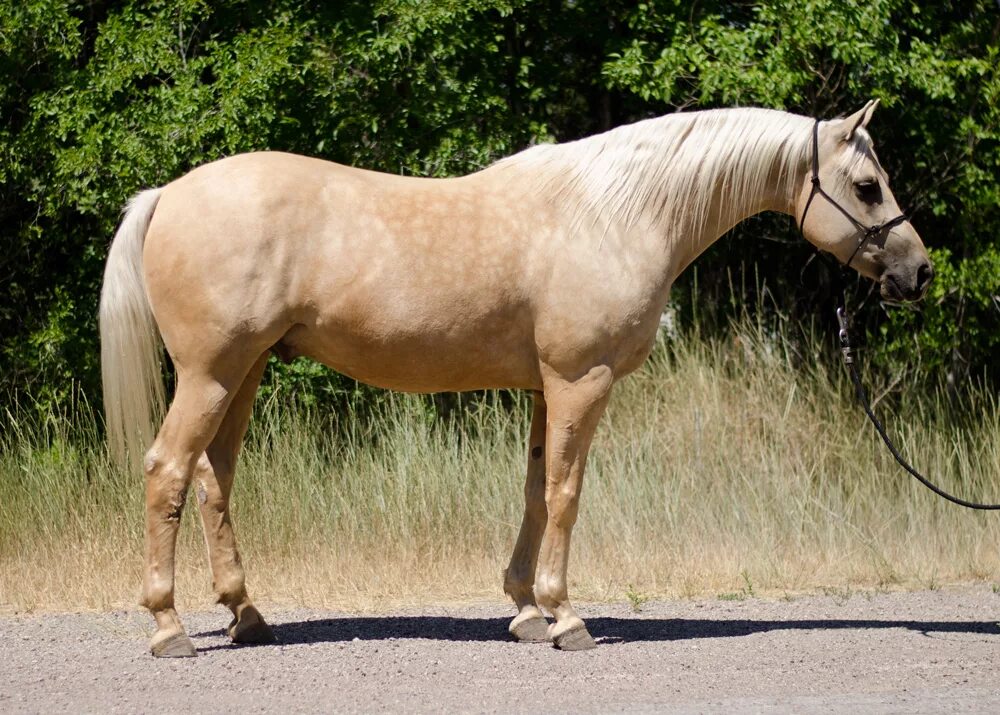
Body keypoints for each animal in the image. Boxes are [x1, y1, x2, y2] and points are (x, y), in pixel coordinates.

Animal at [99, 98, 928, 656]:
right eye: (866, 185)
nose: (918, 271)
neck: (616, 212)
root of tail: (166, 195)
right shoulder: (579, 381)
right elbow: (566, 494)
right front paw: (567, 617)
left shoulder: (541, 390)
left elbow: (535, 489)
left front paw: (527, 610)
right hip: (211, 374)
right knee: (168, 470)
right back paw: (169, 626)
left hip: (242, 374)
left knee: (215, 478)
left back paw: (246, 616)